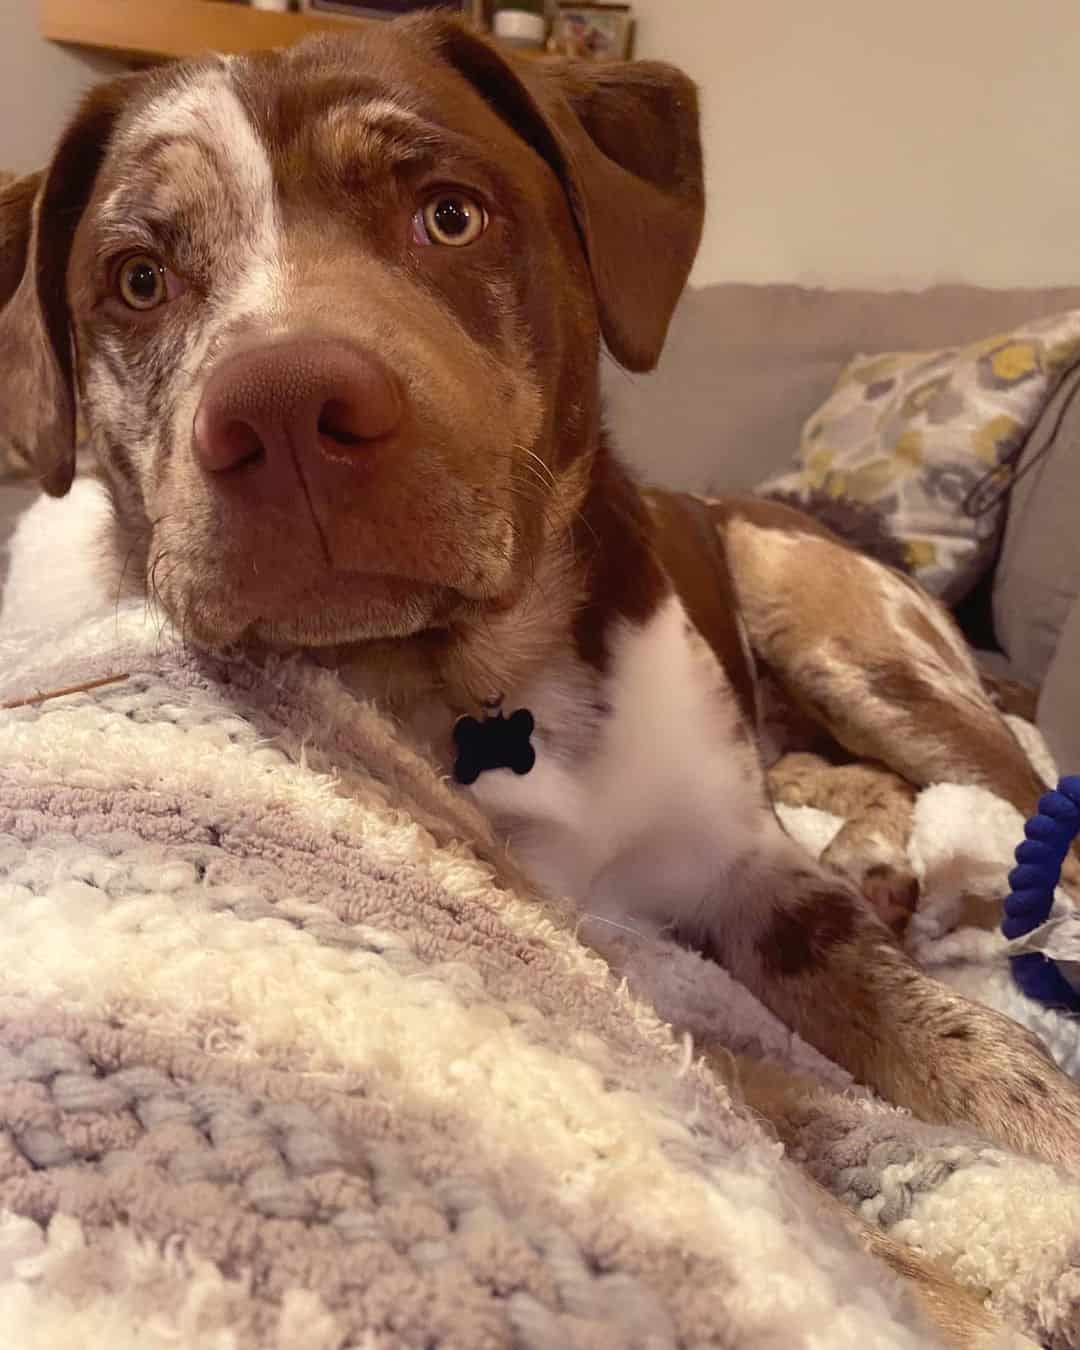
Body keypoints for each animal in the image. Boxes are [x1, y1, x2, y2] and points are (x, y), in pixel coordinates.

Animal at [0, 15, 1074, 1344]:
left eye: (450, 215)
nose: (285, 411)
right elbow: (753, 1093)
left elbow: (958, 1039)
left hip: (855, 647)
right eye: (140, 279)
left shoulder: (748, 872)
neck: (483, 680)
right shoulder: (600, 944)